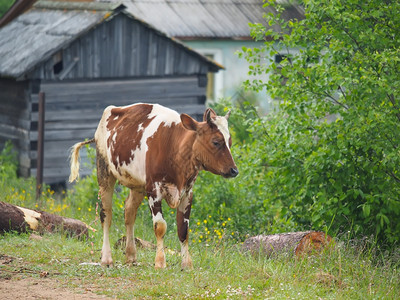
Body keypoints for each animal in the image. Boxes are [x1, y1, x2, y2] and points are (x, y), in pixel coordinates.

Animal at [69, 103, 238, 270]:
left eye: (229, 142)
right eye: (216, 142)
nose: (234, 170)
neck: (175, 149)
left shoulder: (187, 192)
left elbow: (183, 230)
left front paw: (186, 264)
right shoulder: (153, 190)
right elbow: (160, 226)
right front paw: (160, 262)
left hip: (137, 186)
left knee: (129, 212)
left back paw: (131, 255)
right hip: (104, 171)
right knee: (106, 215)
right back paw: (106, 258)